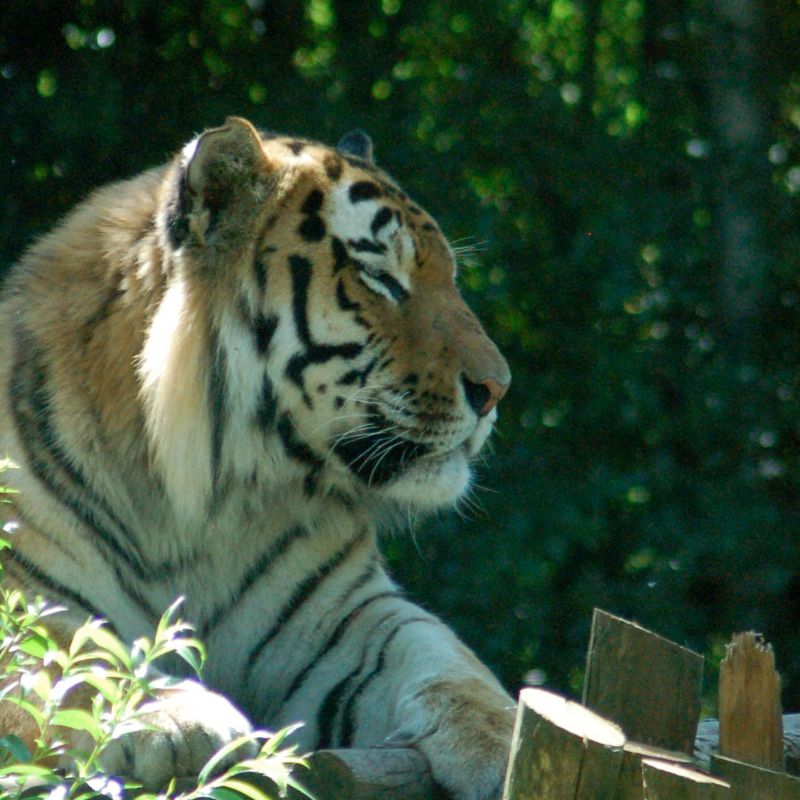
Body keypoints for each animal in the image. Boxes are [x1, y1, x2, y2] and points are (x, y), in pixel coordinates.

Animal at [0, 117, 512, 800]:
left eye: (449, 278)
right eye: (381, 278)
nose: (497, 389)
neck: (201, 500)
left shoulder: (344, 615)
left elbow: (441, 652)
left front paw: (503, 733)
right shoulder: (25, 594)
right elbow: (69, 655)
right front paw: (170, 716)